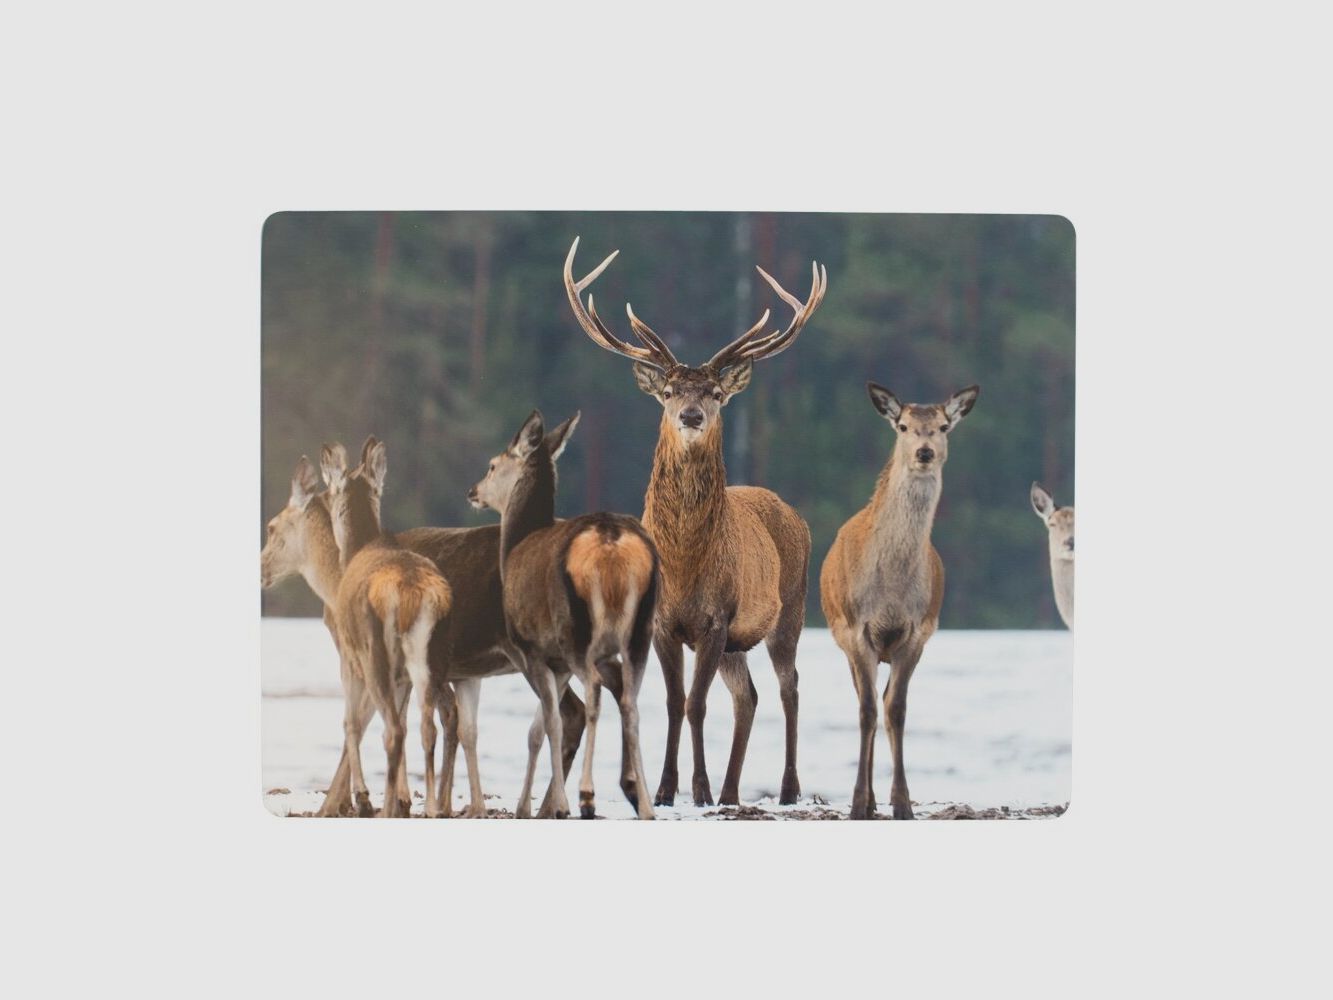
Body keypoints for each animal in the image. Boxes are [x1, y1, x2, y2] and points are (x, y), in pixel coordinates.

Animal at [320, 437, 454, 818]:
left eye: (329, 491)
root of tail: (411, 593)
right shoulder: (402, 676)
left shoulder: (348, 655)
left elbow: (350, 723)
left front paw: (363, 796)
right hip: (431, 656)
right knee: (426, 725)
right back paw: (432, 808)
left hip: (373, 650)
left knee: (393, 730)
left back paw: (382, 807)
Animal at [469, 410, 659, 820]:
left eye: (492, 465)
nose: (473, 491)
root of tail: (611, 541)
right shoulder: (559, 662)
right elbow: (542, 726)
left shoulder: (534, 650)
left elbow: (552, 724)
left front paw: (556, 804)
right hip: (641, 631)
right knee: (631, 702)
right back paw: (646, 803)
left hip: (575, 630)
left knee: (595, 694)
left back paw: (587, 795)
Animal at [563, 237, 825, 808]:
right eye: (667, 392)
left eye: (716, 394)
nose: (690, 415)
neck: (684, 563)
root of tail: (794, 514)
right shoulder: (661, 621)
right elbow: (672, 702)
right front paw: (664, 789)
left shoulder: (717, 617)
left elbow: (696, 704)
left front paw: (697, 790)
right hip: (737, 645)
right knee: (748, 695)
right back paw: (731, 791)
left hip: (789, 608)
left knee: (790, 687)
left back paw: (786, 788)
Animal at [820, 382, 980, 819]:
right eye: (903, 426)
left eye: (943, 426)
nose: (924, 452)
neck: (891, 592)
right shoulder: (857, 631)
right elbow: (867, 711)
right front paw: (858, 803)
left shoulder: (917, 633)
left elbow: (897, 710)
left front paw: (903, 803)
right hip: (844, 637)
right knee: (866, 702)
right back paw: (870, 799)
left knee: (883, 701)